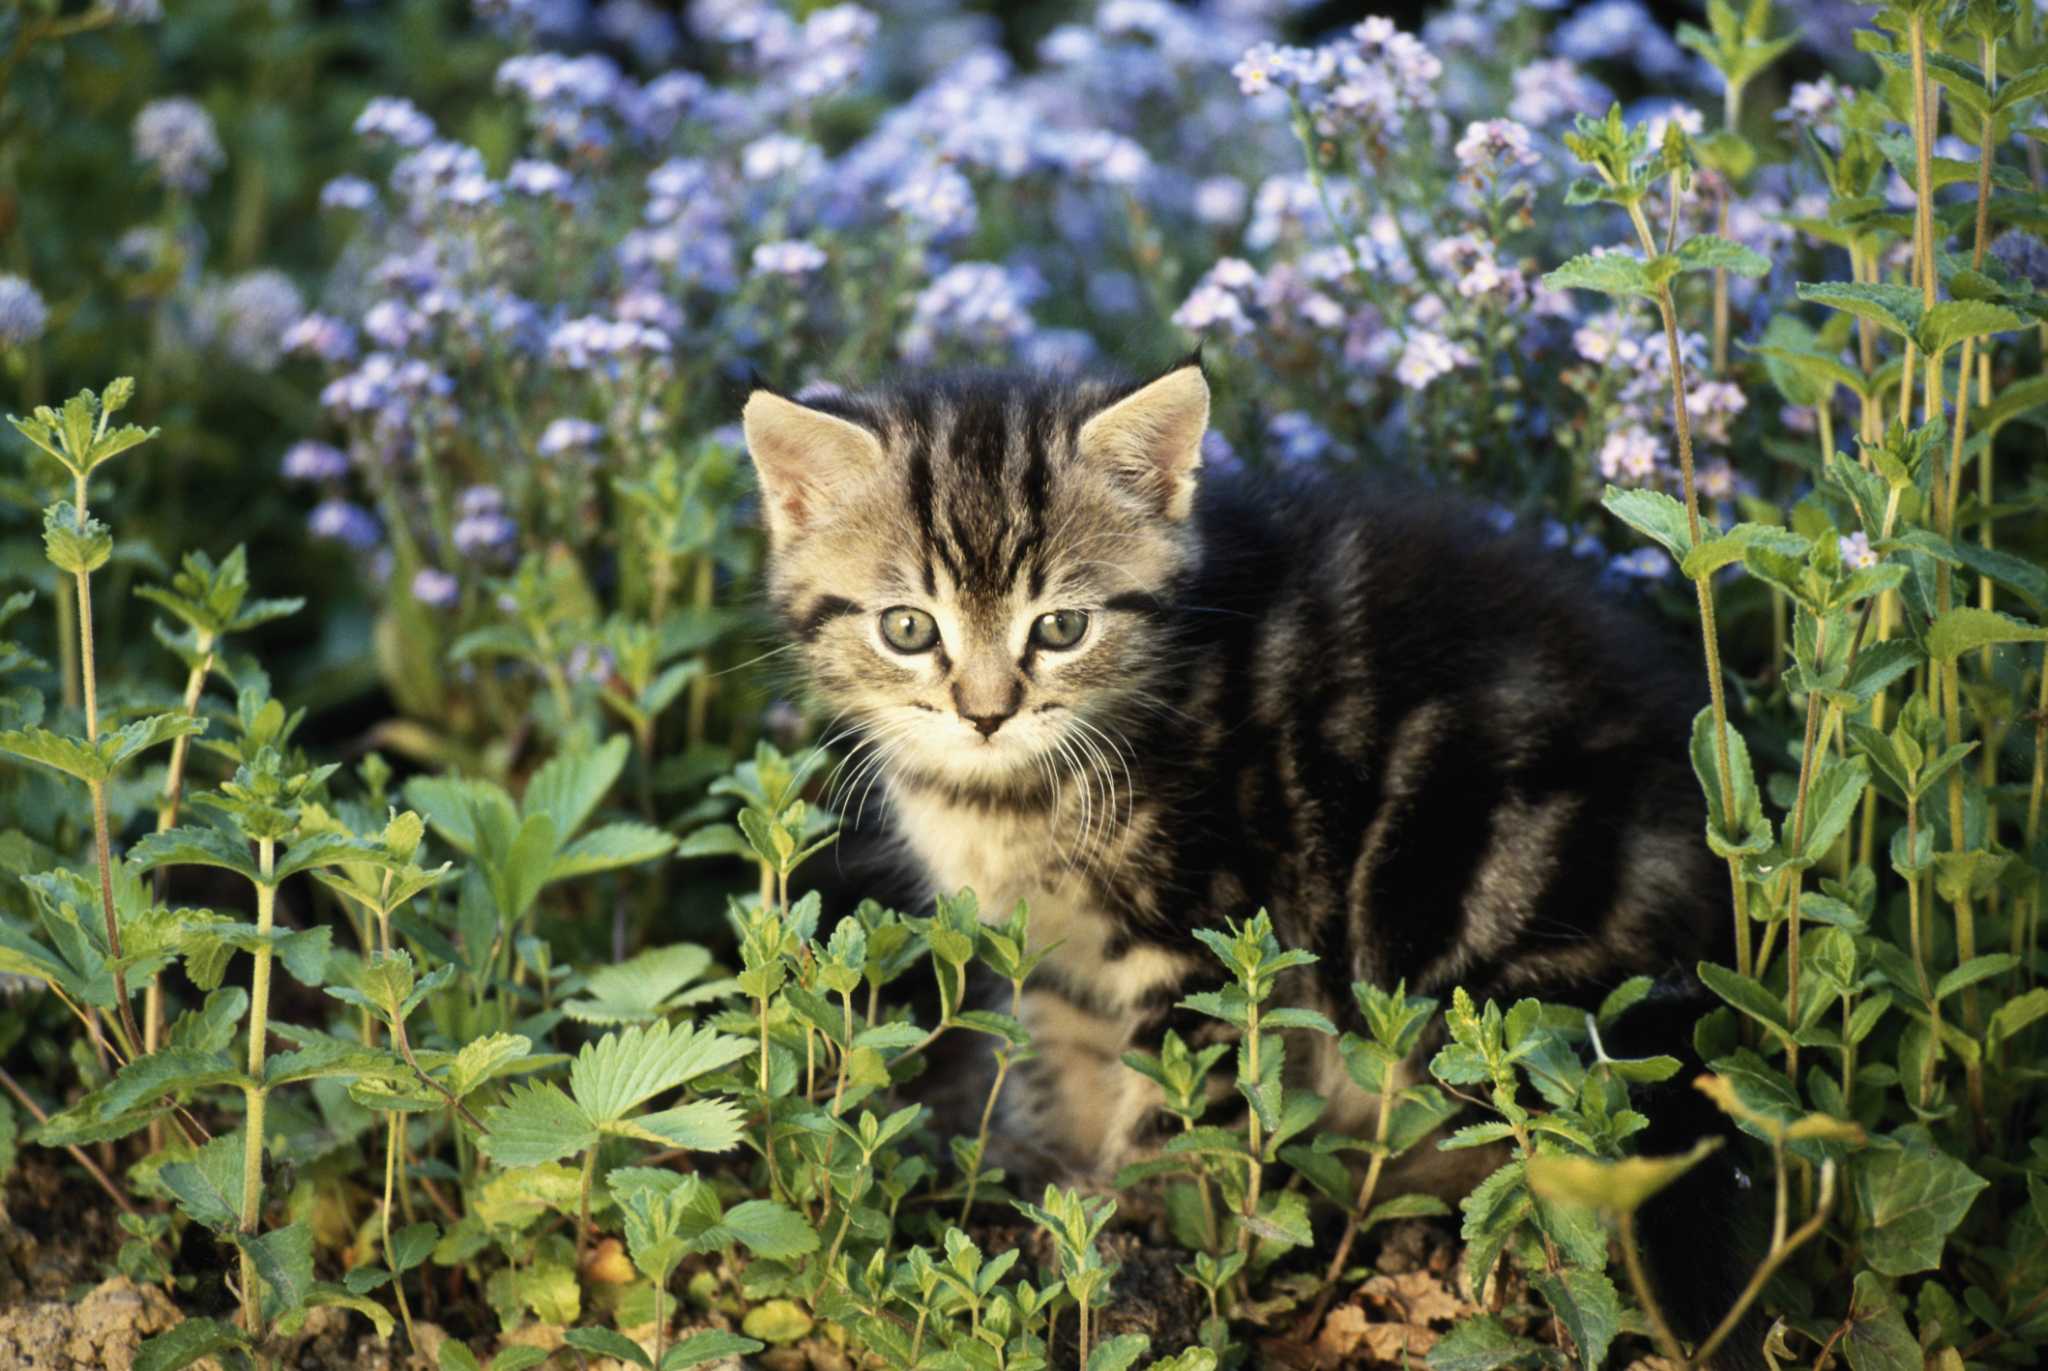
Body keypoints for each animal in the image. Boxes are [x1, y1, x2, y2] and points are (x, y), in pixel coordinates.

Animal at [745, 352, 1753, 1336]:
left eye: (1062, 627)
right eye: (907, 627)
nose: (986, 714)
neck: (1010, 798)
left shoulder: (1214, 925)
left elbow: (1177, 1101)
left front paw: (1143, 1237)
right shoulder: (1051, 950)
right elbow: (1077, 1055)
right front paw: (1068, 1202)